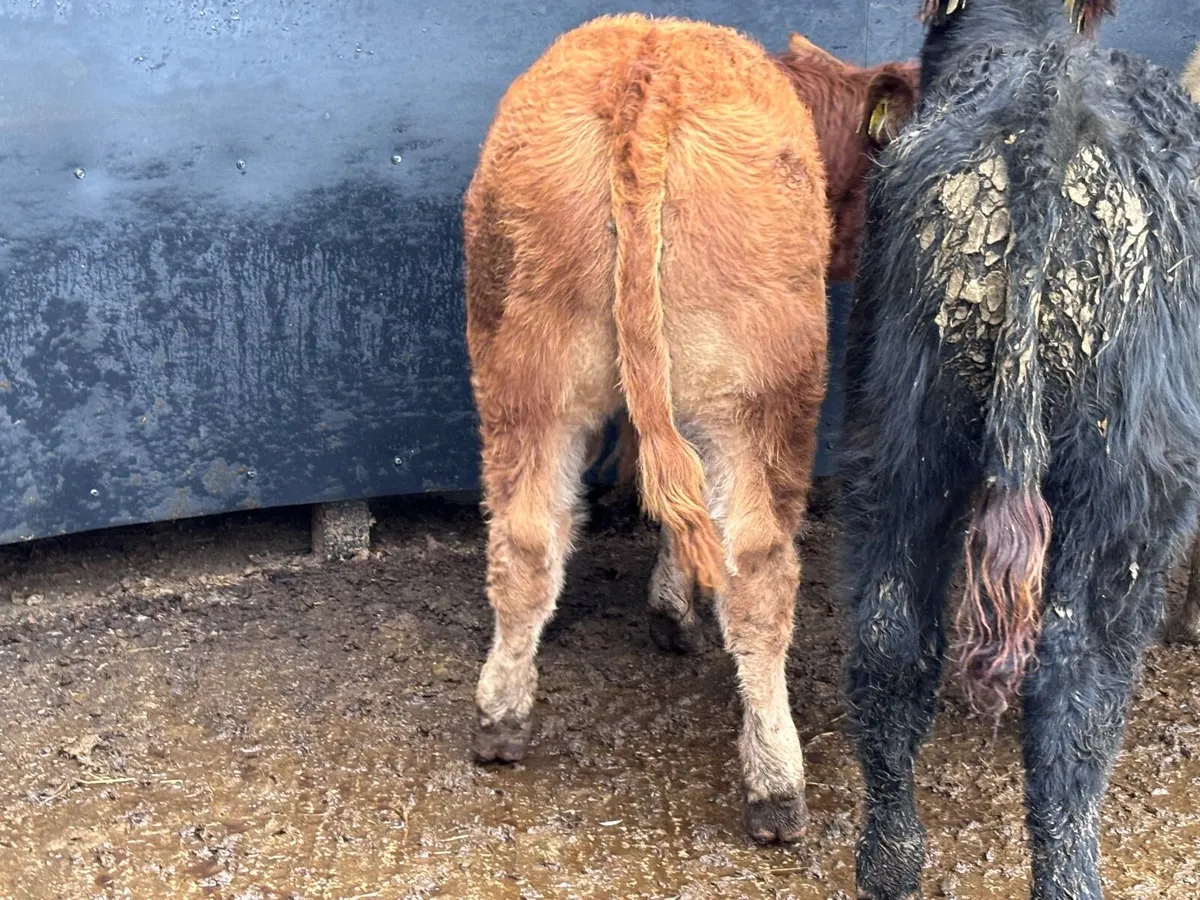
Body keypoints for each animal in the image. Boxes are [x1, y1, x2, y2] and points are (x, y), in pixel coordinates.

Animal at [463, 13, 915, 843]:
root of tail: (648, 73)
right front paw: (674, 612)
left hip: (525, 379)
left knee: (528, 538)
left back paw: (501, 719)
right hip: (761, 401)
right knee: (757, 572)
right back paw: (776, 783)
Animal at [840, 1, 1200, 897]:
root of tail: (1045, 106)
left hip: (898, 430)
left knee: (890, 633)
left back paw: (891, 861)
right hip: (1123, 485)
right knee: (1075, 680)